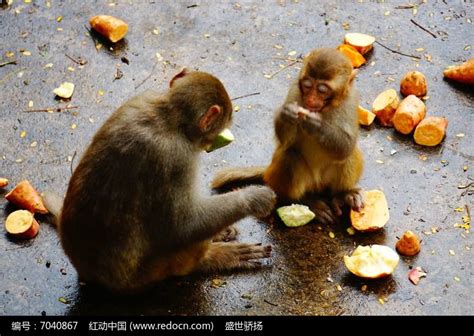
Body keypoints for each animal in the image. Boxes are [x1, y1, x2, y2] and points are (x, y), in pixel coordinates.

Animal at [43, 69, 278, 292]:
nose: (209, 145)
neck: (168, 116)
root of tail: (85, 272)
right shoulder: (177, 157)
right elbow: (181, 227)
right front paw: (252, 199)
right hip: (154, 270)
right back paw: (211, 258)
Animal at [213, 48, 364, 223]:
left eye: (322, 90)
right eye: (307, 86)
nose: (310, 99)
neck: (324, 109)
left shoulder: (351, 100)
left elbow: (346, 147)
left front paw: (316, 125)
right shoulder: (294, 91)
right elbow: (285, 142)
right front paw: (287, 115)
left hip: (325, 182)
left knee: (349, 155)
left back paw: (343, 194)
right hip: (293, 181)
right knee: (290, 156)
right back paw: (305, 201)